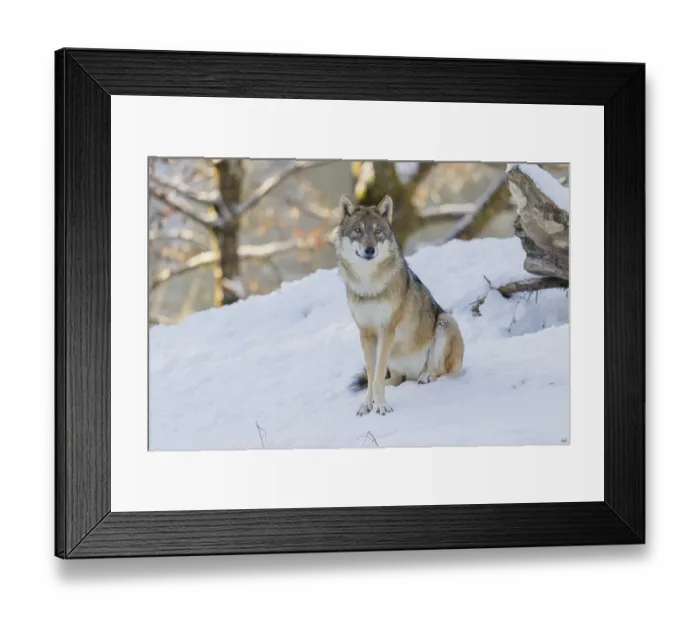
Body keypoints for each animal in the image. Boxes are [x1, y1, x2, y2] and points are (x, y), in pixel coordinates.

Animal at [334, 194, 465, 416]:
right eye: (358, 230)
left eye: (377, 231)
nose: (370, 249)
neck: (369, 286)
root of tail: (412, 374)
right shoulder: (366, 334)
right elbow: (372, 375)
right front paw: (367, 404)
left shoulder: (387, 330)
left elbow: (376, 376)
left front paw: (381, 405)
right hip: (393, 357)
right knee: (393, 379)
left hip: (445, 321)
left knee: (441, 371)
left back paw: (426, 376)